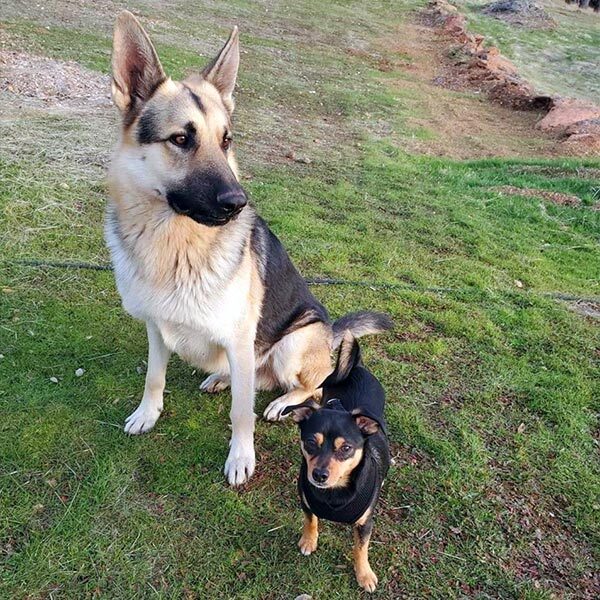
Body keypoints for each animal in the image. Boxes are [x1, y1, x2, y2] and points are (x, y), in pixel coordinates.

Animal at [284, 336, 392, 592]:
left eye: (346, 449)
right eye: (310, 442)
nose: (319, 475)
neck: (334, 494)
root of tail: (357, 367)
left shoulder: (365, 523)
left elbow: (361, 548)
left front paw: (364, 575)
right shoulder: (305, 502)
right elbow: (310, 520)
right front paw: (308, 541)